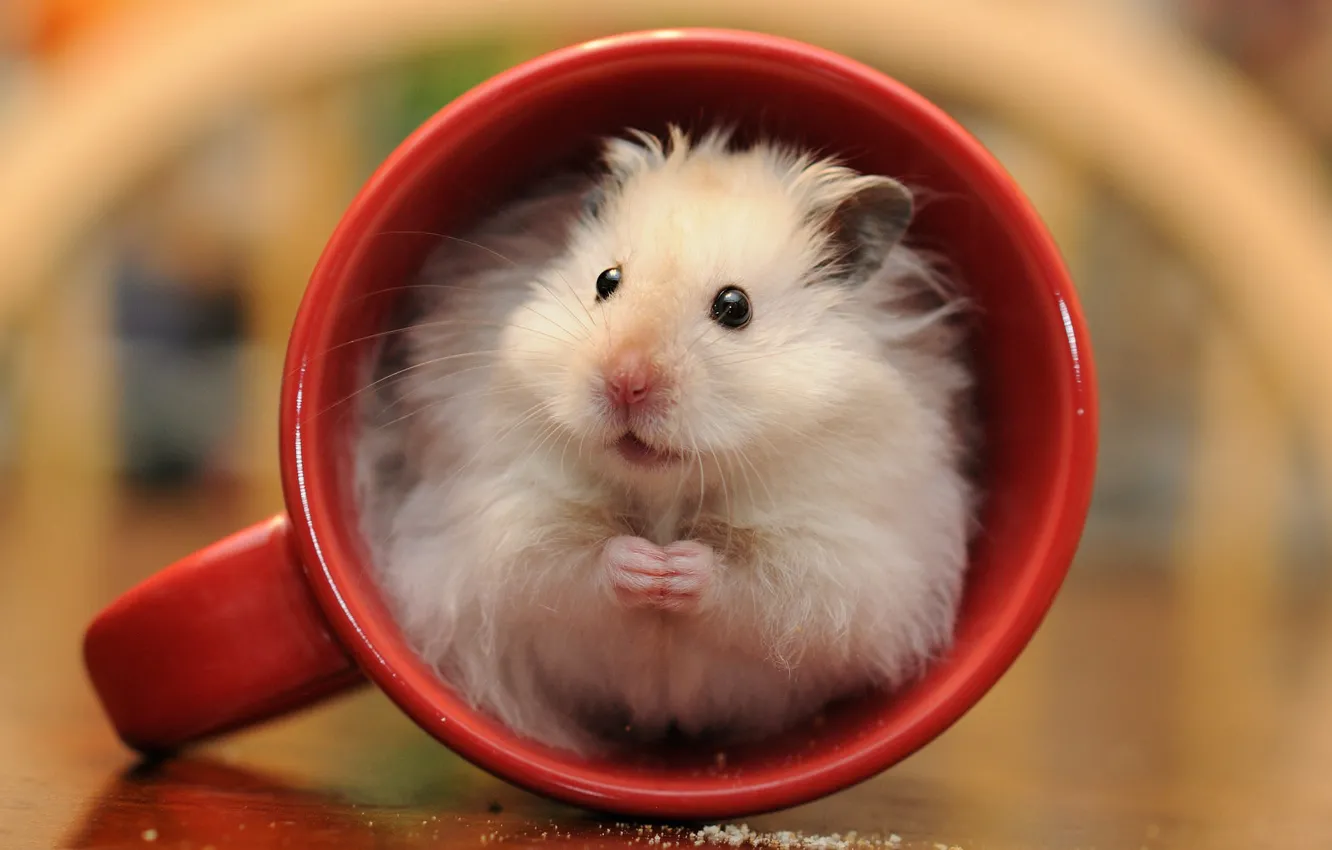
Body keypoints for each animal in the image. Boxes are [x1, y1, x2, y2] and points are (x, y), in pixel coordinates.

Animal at [354, 126, 977, 755]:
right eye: (605, 282)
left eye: (734, 306)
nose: (625, 382)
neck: (664, 492)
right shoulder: (506, 525)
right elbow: (566, 563)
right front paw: (644, 566)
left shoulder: (841, 560)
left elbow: (760, 587)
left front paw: (673, 568)